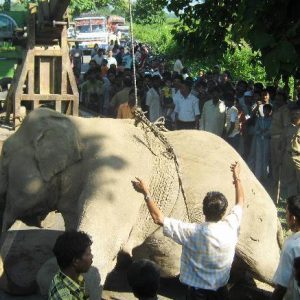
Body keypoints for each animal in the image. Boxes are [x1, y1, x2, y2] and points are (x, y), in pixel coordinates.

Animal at [0, 108, 282, 298]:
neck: (78, 125)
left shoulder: (115, 181)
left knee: (270, 266)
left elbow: (96, 251)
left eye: (3, 157)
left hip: (257, 225)